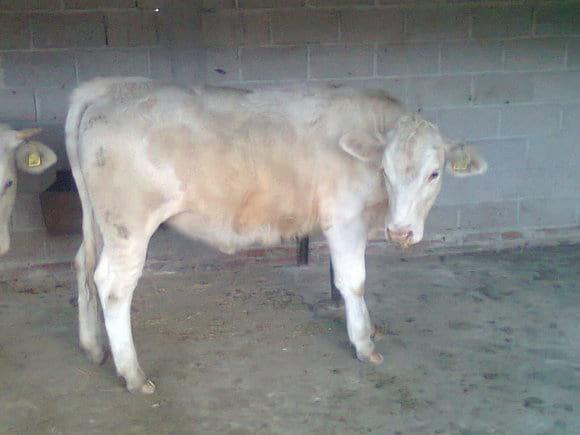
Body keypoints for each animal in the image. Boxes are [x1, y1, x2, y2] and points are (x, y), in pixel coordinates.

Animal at [65, 78, 488, 396]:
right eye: (385, 170)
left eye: (434, 173)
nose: (400, 231)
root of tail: (110, 86)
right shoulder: (345, 219)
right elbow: (354, 281)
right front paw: (363, 343)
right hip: (128, 224)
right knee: (113, 286)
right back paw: (133, 374)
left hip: (99, 222)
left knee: (84, 265)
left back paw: (93, 347)